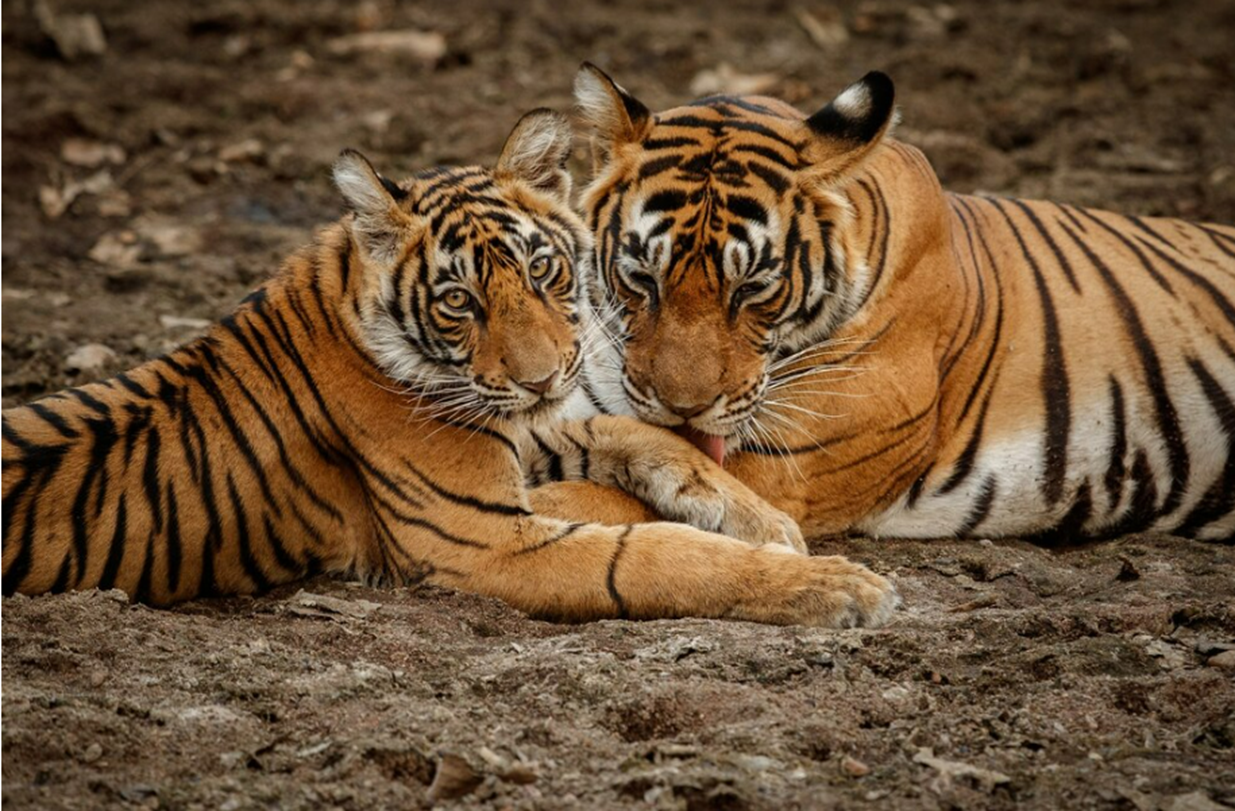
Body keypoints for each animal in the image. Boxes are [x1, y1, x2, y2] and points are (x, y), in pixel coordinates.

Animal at [1, 108, 899, 628]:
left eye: (542, 270)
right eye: (459, 301)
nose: (542, 376)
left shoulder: (522, 431)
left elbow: (630, 433)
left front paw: (760, 518)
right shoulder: (482, 537)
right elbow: (651, 555)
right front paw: (838, 586)